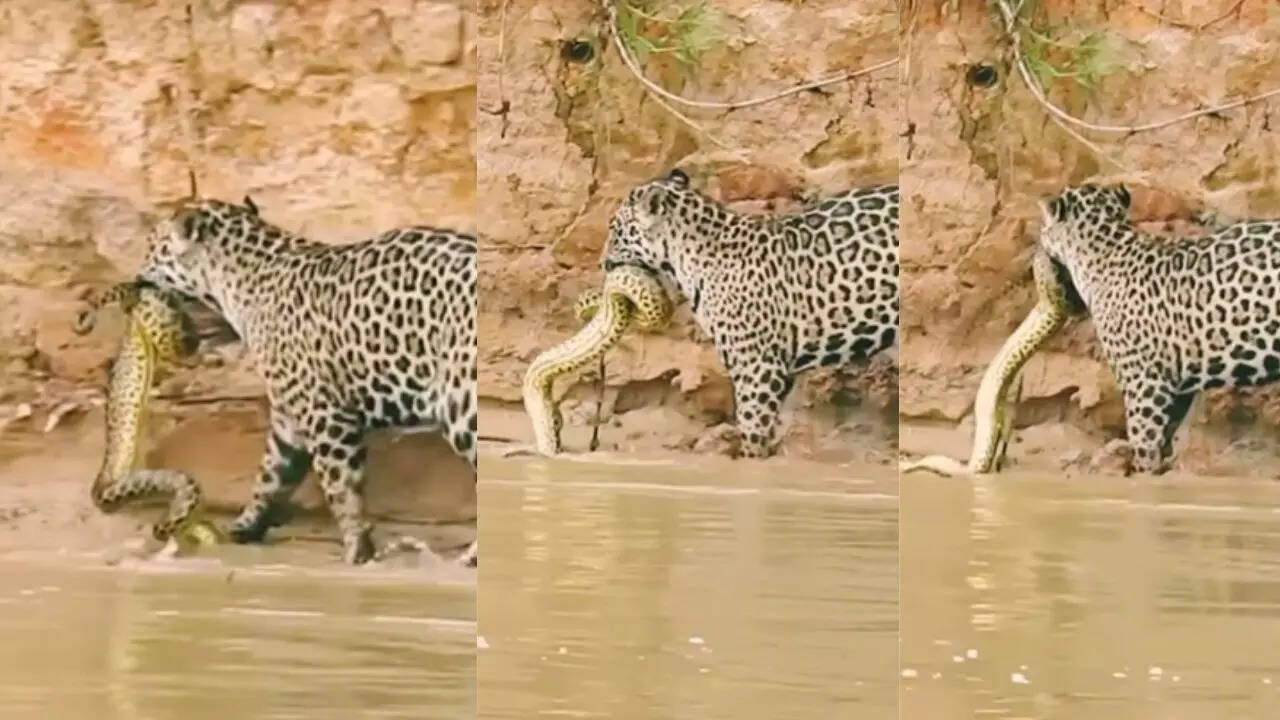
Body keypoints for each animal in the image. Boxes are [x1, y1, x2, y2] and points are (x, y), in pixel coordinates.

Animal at [132, 196, 477, 565]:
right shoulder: (288, 413)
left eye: (151, 245)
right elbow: (270, 474)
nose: (136, 276)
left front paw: (356, 549)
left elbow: (341, 485)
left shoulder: (323, 412)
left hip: (461, 401)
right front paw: (245, 525)